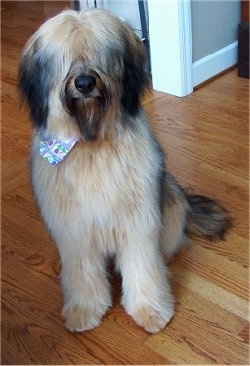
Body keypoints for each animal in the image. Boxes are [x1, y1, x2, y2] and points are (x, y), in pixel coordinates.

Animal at [18, 8, 231, 334]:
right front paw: (84, 310)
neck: (92, 143)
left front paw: (151, 310)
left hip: (168, 202)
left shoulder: (138, 221)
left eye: (101, 53)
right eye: (65, 57)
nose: (84, 83)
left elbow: (143, 268)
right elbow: (82, 273)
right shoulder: (75, 231)